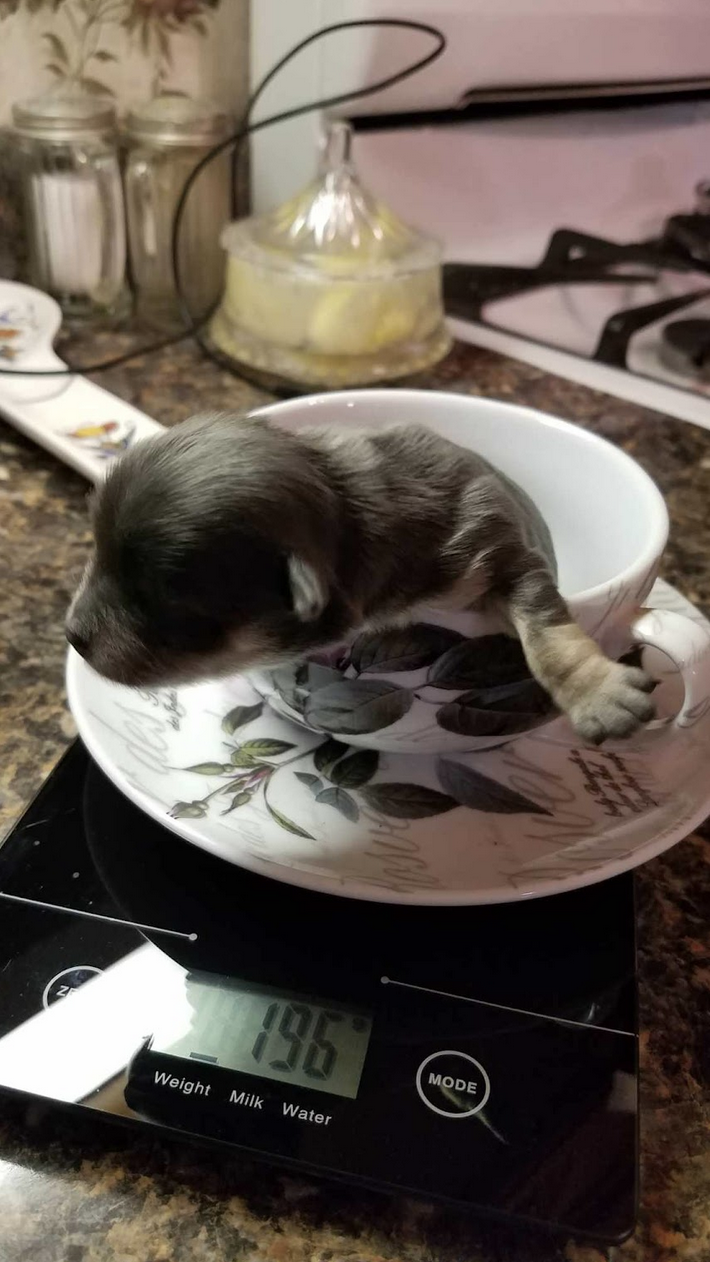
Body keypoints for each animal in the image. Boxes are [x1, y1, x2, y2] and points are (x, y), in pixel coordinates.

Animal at [66, 411, 655, 744]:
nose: (71, 637)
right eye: (96, 548)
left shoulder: (499, 549)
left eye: (160, 601)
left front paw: (599, 695)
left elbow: (548, 633)